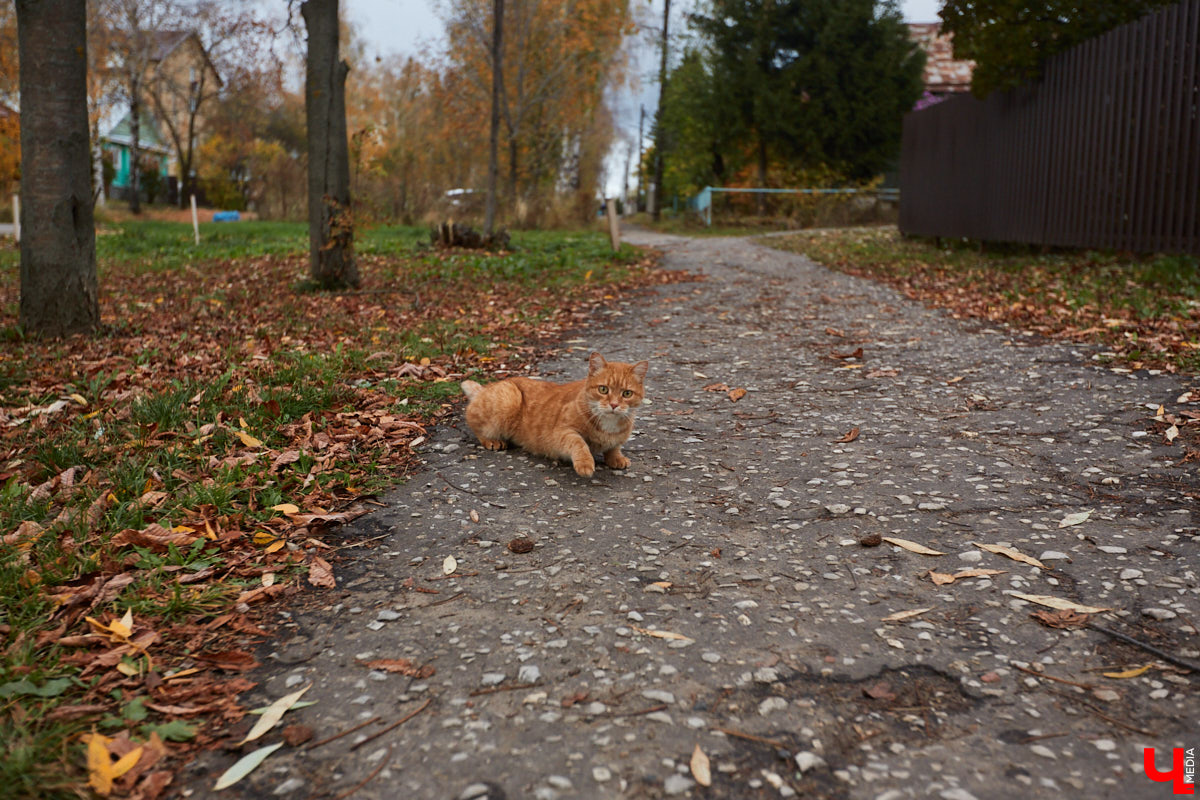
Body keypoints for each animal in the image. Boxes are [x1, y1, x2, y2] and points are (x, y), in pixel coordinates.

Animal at [458, 352, 648, 474]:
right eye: (603, 389)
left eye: (627, 393)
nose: (614, 405)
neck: (609, 426)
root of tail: (484, 388)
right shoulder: (561, 432)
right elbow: (579, 443)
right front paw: (585, 463)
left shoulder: (616, 439)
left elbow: (614, 447)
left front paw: (616, 458)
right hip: (509, 398)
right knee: (474, 423)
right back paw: (492, 441)